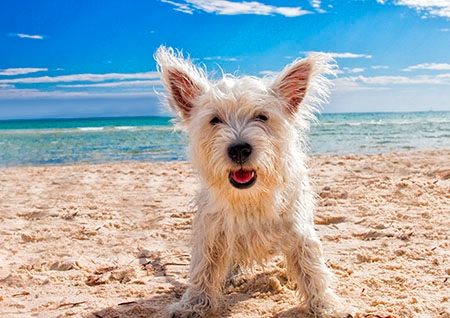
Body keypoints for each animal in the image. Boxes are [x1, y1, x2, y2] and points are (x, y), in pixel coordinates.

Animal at [156, 46, 344, 316]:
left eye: (262, 117)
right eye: (215, 120)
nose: (239, 149)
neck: (249, 198)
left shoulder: (299, 231)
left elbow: (312, 269)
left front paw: (326, 306)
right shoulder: (212, 232)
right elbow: (203, 268)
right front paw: (192, 304)